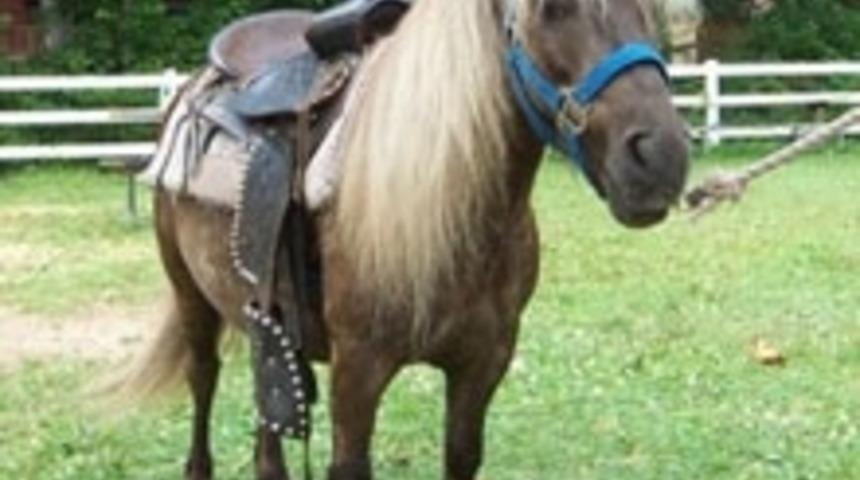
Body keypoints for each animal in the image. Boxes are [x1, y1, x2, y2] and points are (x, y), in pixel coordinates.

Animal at [119, 0, 689, 479]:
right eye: (551, 9)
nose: (659, 157)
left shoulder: (483, 363)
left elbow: (461, 454)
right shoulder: (357, 370)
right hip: (192, 298)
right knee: (203, 379)